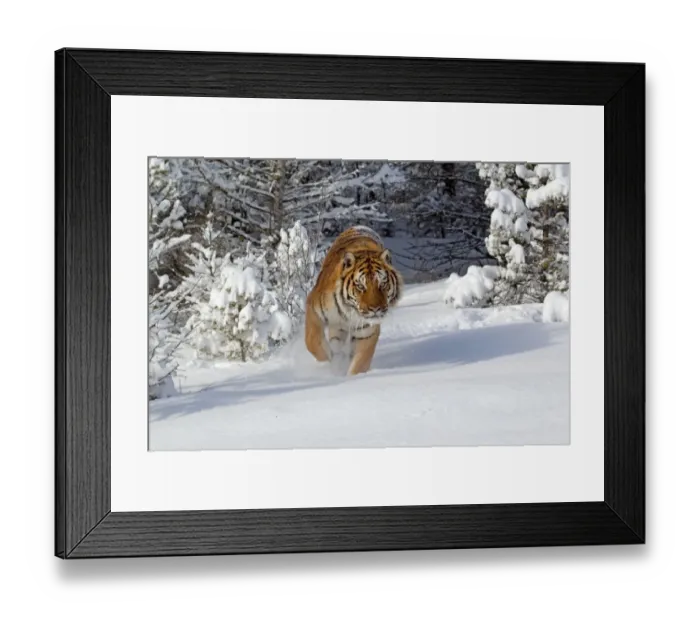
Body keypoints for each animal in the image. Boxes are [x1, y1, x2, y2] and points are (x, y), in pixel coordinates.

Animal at [305, 225, 403, 376]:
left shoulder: (366, 332)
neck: (350, 310)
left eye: (382, 284)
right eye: (360, 286)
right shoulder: (313, 309)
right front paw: (329, 360)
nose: (375, 309)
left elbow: (360, 362)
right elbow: (312, 340)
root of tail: (360, 226)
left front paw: (352, 378)